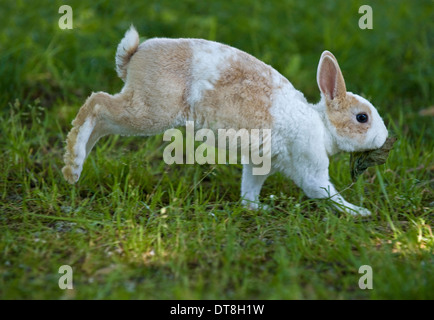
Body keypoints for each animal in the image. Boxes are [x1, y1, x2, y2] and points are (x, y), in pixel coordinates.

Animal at [62, 26, 390, 216]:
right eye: (362, 117)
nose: (385, 138)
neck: (322, 126)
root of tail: (134, 55)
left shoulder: (260, 163)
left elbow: (250, 186)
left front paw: (256, 208)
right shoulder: (311, 165)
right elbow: (322, 190)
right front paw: (359, 212)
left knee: (100, 119)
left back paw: (76, 165)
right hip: (150, 111)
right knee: (97, 104)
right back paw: (73, 165)